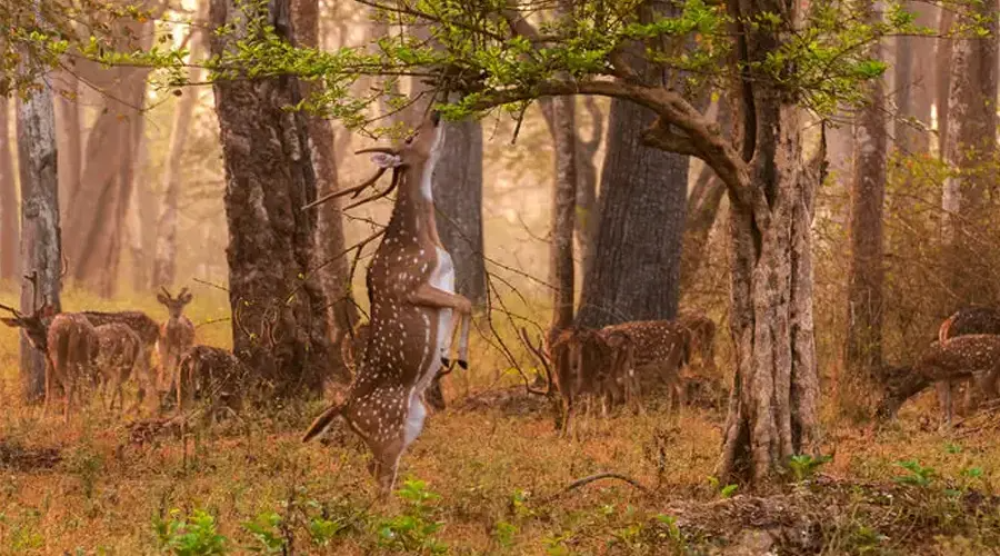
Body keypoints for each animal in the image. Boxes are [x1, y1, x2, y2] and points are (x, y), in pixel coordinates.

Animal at [298, 111, 474, 494]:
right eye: (409, 138)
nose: (436, 114)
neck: (426, 242)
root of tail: (343, 407)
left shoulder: (445, 281)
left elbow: (462, 301)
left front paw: (447, 354)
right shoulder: (409, 284)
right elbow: (464, 302)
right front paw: (455, 355)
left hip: (414, 420)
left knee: (374, 469)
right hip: (386, 428)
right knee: (380, 476)